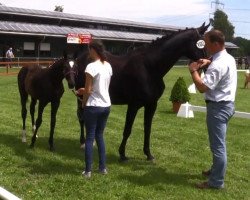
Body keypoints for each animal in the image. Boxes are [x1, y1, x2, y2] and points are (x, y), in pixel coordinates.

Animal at [75, 23, 209, 161]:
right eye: (202, 43)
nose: (207, 63)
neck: (149, 67)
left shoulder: (151, 104)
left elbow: (147, 129)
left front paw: (148, 154)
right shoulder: (133, 105)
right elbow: (127, 129)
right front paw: (122, 154)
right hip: (81, 96)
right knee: (81, 117)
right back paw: (83, 142)